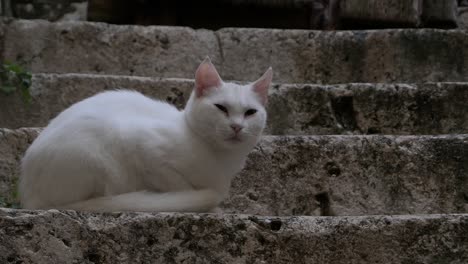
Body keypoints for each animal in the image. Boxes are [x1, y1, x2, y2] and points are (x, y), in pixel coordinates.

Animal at [20, 57, 272, 212]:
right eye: (221, 108)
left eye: (250, 112)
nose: (237, 126)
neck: (221, 160)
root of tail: (28, 196)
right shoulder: (144, 148)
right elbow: (180, 184)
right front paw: (205, 203)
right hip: (95, 150)